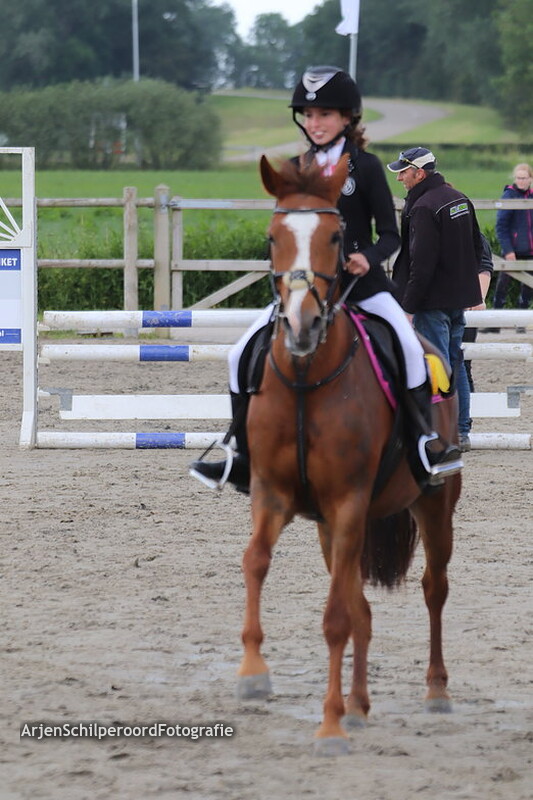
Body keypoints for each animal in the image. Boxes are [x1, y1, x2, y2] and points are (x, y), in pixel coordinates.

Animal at [236, 154, 461, 756]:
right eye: (272, 238)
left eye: (337, 237)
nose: (301, 325)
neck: (305, 378)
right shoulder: (275, 495)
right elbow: (256, 561)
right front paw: (253, 673)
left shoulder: (349, 504)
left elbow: (337, 616)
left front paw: (330, 725)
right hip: (330, 529)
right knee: (363, 605)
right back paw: (360, 704)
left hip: (433, 505)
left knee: (434, 589)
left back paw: (435, 691)